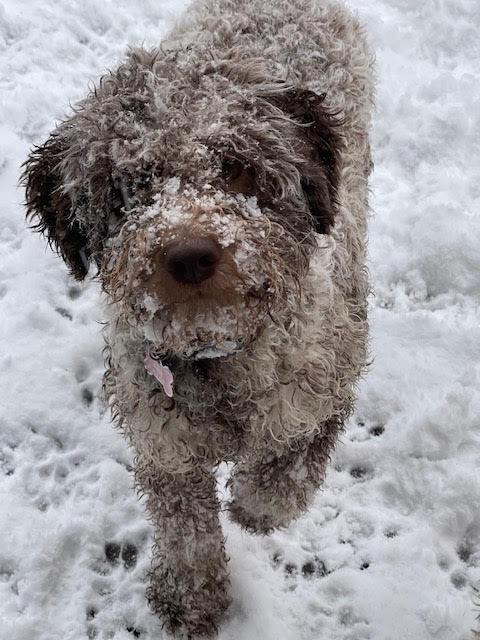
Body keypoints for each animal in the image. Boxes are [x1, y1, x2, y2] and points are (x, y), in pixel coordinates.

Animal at [22, 0, 376, 632]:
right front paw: (191, 597)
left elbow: (284, 477)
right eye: (128, 186)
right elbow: (185, 529)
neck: (218, 354)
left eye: (237, 166)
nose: (189, 255)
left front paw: (252, 509)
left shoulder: (327, 385)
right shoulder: (163, 439)